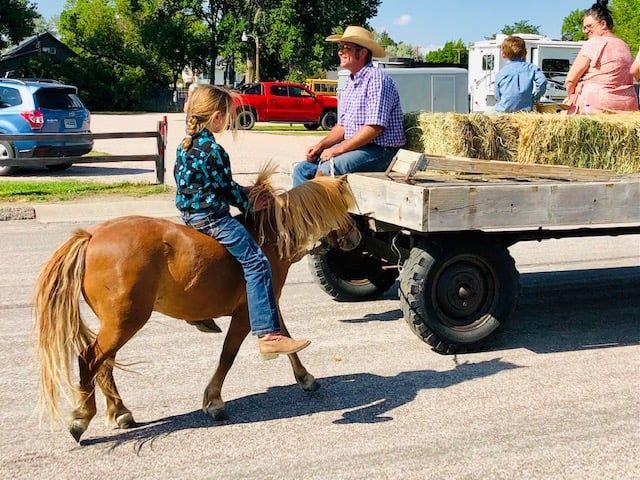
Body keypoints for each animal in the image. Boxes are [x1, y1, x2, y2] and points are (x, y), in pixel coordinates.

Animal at [35, 169, 355, 442]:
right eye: (346, 209)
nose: (356, 236)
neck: (271, 237)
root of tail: (91, 237)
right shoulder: (247, 312)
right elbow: (228, 355)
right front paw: (213, 401)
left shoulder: (266, 303)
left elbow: (284, 337)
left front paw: (305, 377)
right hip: (124, 322)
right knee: (89, 360)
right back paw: (81, 417)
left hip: (116, 324)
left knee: (103, 365)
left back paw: (120, 412)